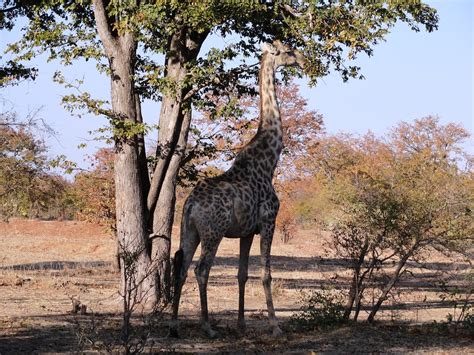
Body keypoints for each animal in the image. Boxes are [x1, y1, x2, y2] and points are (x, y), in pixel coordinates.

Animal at [170, 40, 308, 338]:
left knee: (182, 268)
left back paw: (174, 326)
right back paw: (208, 327)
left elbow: (242, 274)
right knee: (201, 270)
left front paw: (242, 324)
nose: (303, 60)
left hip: (190, 230)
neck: (269, 161)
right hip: (214, 231)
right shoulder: (269, 221)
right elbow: (266, 274)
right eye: (288, 50)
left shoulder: (247, 231)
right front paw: (275, 326)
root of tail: (190, 204)